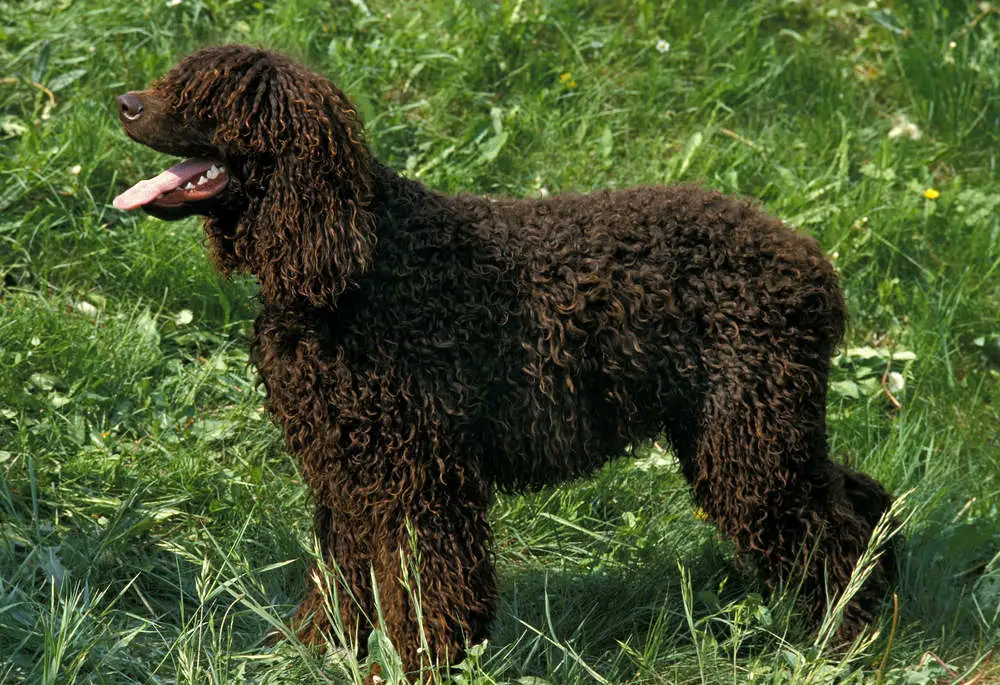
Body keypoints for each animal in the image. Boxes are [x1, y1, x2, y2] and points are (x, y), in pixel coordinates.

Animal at [115, 45, 900, 676]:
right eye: (175, 78)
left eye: (212, 97)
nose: (123, 103)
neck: (358, 262)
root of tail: (812, 267)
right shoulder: (344, 469)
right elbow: (343, 574)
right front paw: (315, 650)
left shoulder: (418, 474)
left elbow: (426, 586)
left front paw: (425, 663)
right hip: (753, 429)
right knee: (858, 498)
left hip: (750, 436)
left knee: (830, 532)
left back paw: (847, 640)